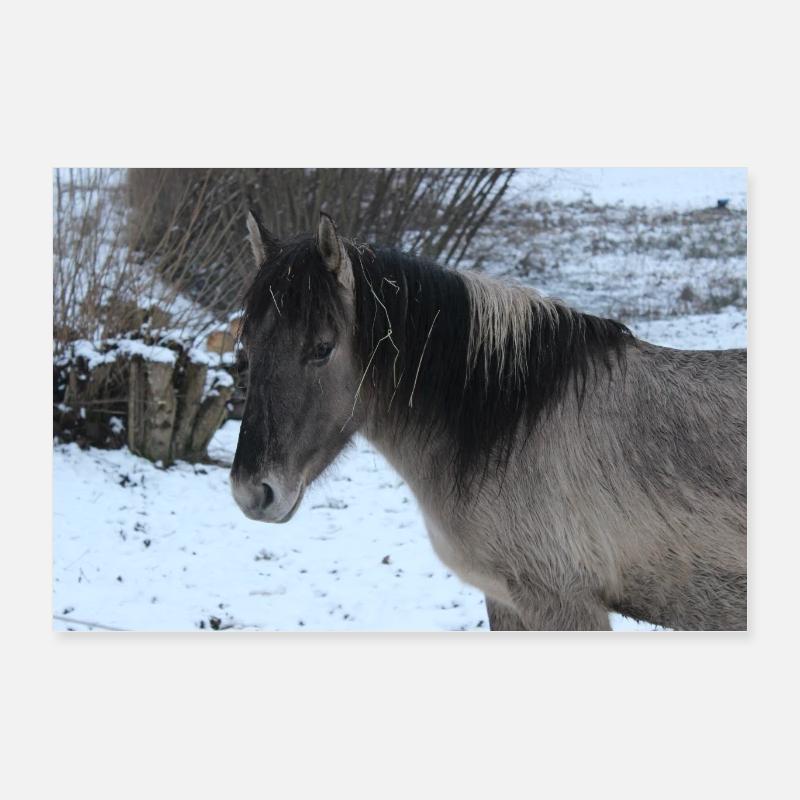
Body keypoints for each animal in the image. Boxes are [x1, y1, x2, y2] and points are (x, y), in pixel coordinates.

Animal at [230, 211, 747, 631]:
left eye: (322, 348)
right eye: (248, 345)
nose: (252, 493)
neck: (514, 427)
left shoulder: (565, 604)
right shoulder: (506, 600)